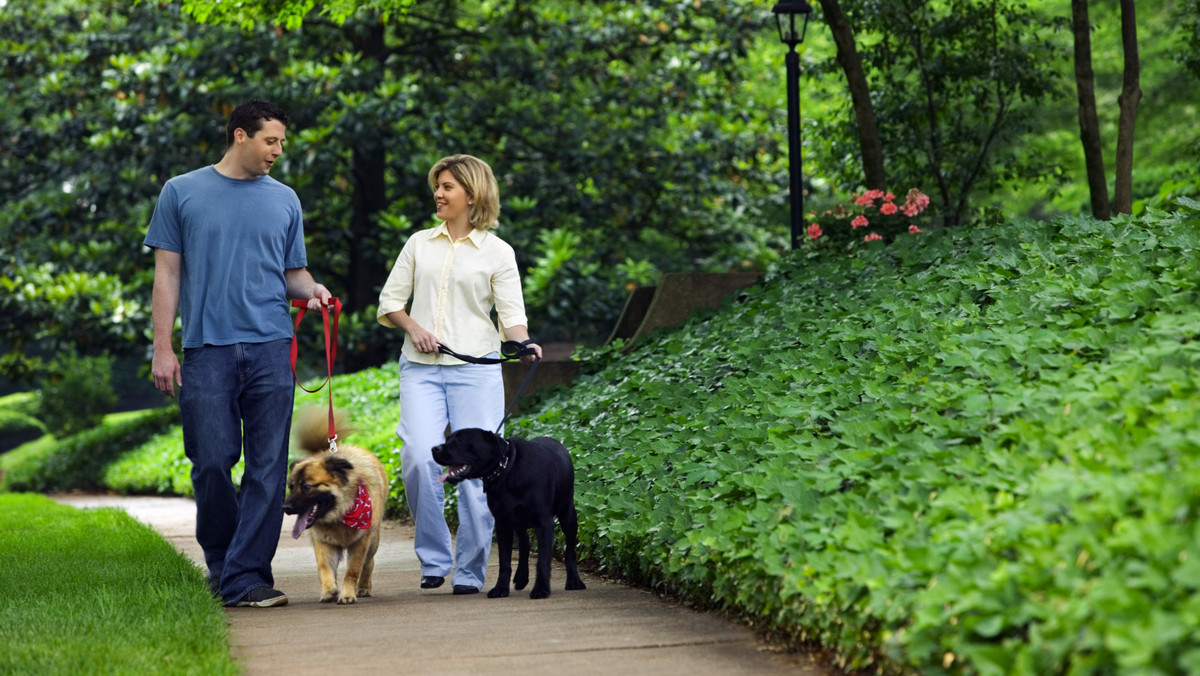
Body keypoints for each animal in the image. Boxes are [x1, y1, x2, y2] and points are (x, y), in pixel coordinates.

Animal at [284, 410, 388, 605]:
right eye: (291, 487)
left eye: (306, 486)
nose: (285, 507)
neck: (342, 512)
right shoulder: (323, 542)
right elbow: (324, 567)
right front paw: (329, 590)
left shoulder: (360, 542)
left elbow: (353, 570)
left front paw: (347, 594)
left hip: (373, 541)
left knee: (368, 563)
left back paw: (364, 587)